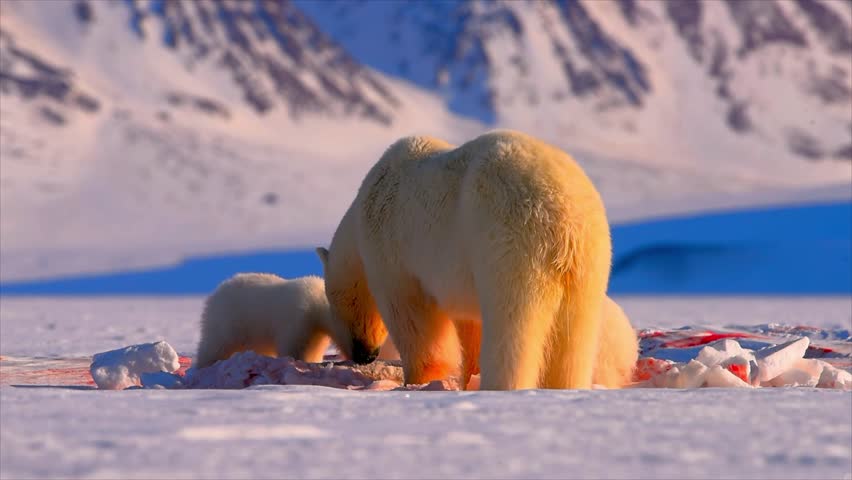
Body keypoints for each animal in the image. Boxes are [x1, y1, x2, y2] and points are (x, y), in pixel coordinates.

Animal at [194, 273, 334, 369]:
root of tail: (217, 292)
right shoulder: (299, 317)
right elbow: (293, 346)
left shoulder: (315, 329)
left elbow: (314, 349)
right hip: (229, 319)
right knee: (216, 344)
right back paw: (206, 364)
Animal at [316, 130, 612, 390]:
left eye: (339, 304)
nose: (363, 355)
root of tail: (564, 215)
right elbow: (471, 324)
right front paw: (468, 376)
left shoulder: (392, 251)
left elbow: (412, 316)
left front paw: (416, 379)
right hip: (588, 263)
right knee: (575, 340)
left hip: (510, 245)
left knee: (513, 329)